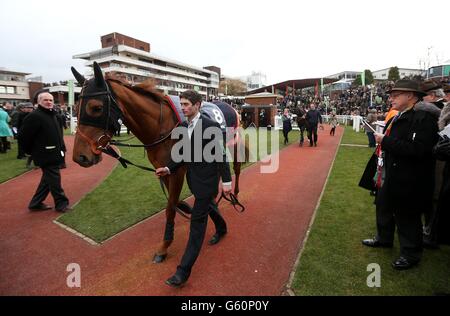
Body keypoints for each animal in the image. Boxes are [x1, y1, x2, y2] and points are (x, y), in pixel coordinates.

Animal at [71, 61, 246, 262]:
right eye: (76, 107)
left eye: (96, 107)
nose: (79, 157)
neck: (161, 128)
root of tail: (229, 105)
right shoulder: (163, 169)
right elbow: (174, 201)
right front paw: (190, 208)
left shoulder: (177, 172)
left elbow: (170, 208)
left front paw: (164, 246)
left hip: (234, 144)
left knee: (236, 168)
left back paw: (235, 193)